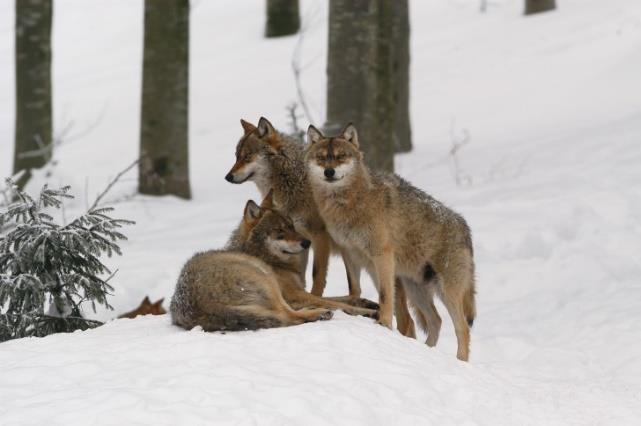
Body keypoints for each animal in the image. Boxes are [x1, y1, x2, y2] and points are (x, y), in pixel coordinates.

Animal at [304, 123, 476, 360]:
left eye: (340, 157)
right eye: (321, 158)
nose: (329, 172)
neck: (350, 203)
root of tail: (465, 227)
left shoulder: (382, 256)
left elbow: (385, 296)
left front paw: (384, 324)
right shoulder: (351, 255)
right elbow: (354, 289)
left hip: (446, 292)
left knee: (462, 329)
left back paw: (460, 362)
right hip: (416, 290)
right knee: (436, 321)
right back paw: (426, 351)